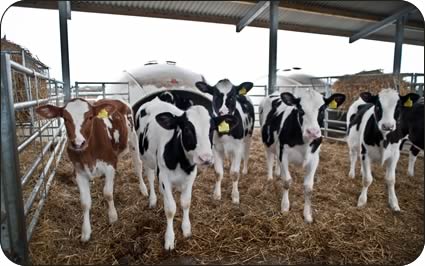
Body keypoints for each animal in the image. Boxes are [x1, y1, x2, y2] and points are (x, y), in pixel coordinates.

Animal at [36, 97, 149, 241]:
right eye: (65, 118)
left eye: (90, 117)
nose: (78, 143)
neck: (88, 153)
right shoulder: (79, 172)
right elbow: (85, 202)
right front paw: (86, 231)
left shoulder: (110, 163)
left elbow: (107, 193)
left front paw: (113, 216)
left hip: (133, 139)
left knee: (138, 166)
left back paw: (143, 189)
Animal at [135, 97, 235, 249]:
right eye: (187, 129)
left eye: (212, 129)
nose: (205, 158)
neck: (181, 162)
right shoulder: (164, 176)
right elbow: (170, 208)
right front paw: (169, 239)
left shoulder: (190, 176)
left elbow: (186, 202)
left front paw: (186, 229)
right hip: (146, 158)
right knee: (150, 177)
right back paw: (152, 199)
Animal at [258, 88, 344, 221]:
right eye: (300, 110)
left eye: (322, 109)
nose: (313, 132)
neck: (304, 142)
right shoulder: (284, 153)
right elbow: (287, 181)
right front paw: (285, 207)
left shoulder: (314, 158)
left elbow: (308, 187)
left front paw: (307, 215)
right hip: (267, 141)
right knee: (270, 157)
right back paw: (270, 177)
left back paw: (277, 172)